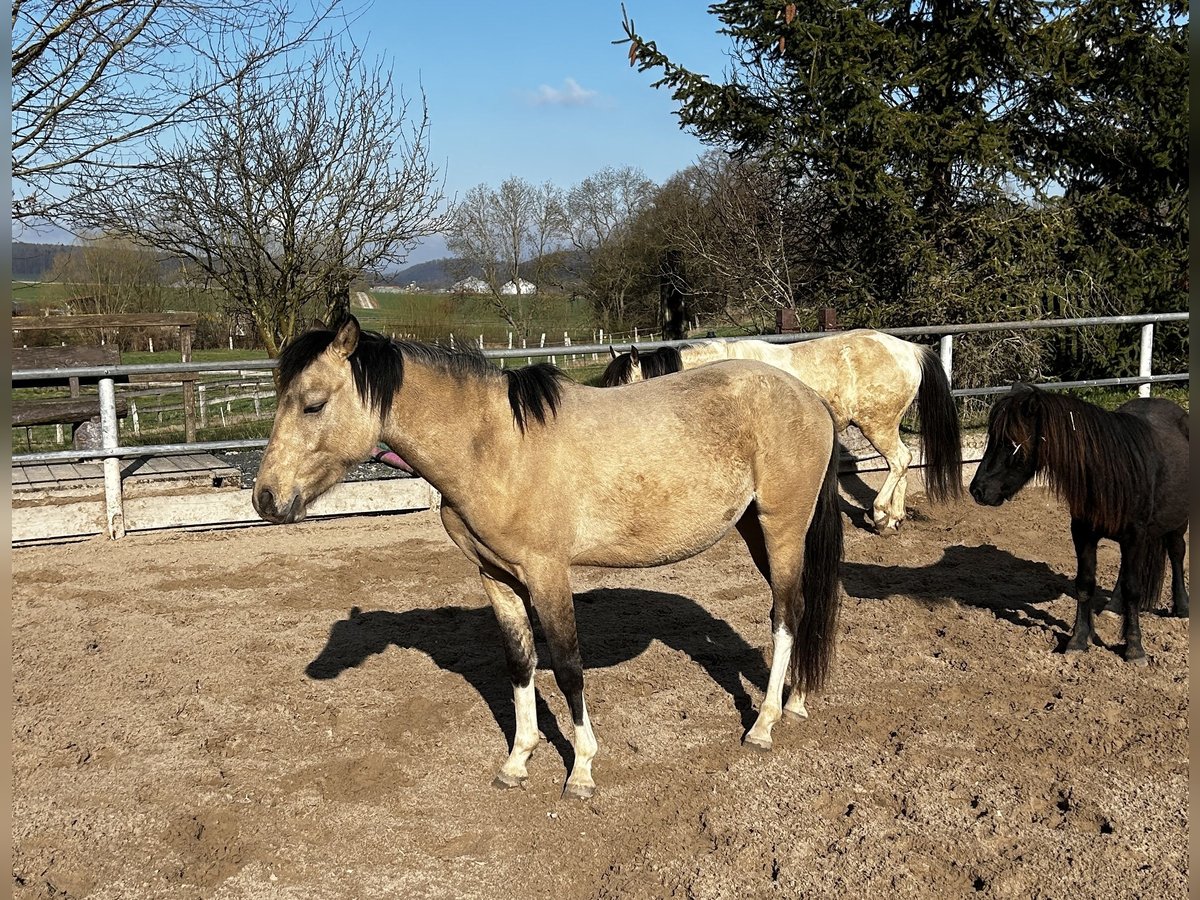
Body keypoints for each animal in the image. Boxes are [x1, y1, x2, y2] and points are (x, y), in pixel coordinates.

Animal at [253, 315, 844, 798]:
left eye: (313, 403)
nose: (266, 500)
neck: (494, 447)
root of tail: (809, 397)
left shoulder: (547, 574)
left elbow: (566, 666)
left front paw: (581, 769)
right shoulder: (496, 577)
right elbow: (521, 665)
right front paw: (518, 761)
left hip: (781, 528)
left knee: (785, 616)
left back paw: (764, 724)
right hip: (755, 529)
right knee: (798, 610)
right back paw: (795, 701)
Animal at [601, 330, 962, 533]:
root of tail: (909, 349)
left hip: (878, 424)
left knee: (899, 460)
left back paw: (880, 516)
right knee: (903, 460)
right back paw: (894, 518)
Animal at [969, 384, 1189, 664]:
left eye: (1010, 442)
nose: (977, 490)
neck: (1109, 472)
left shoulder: (1135, 536)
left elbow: (1133, 589)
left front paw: (1134, 649)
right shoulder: (1083, 534)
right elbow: (1085, 584)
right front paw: (1078, 640)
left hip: (1178, 520)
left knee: (1177, 552)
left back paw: (1182, 607)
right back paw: (1113, 607)